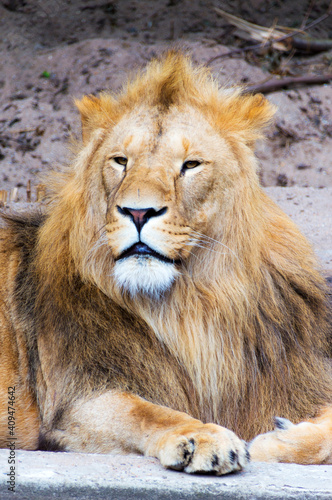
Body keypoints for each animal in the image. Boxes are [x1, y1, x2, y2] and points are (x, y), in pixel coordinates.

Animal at [0, 52, 332, 474]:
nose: (138, 212)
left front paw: (279, 439)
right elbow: (145, 411)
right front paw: (204, 438)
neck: (191, 308)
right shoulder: (75, 401)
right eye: (120, 161)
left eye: (191, 165)